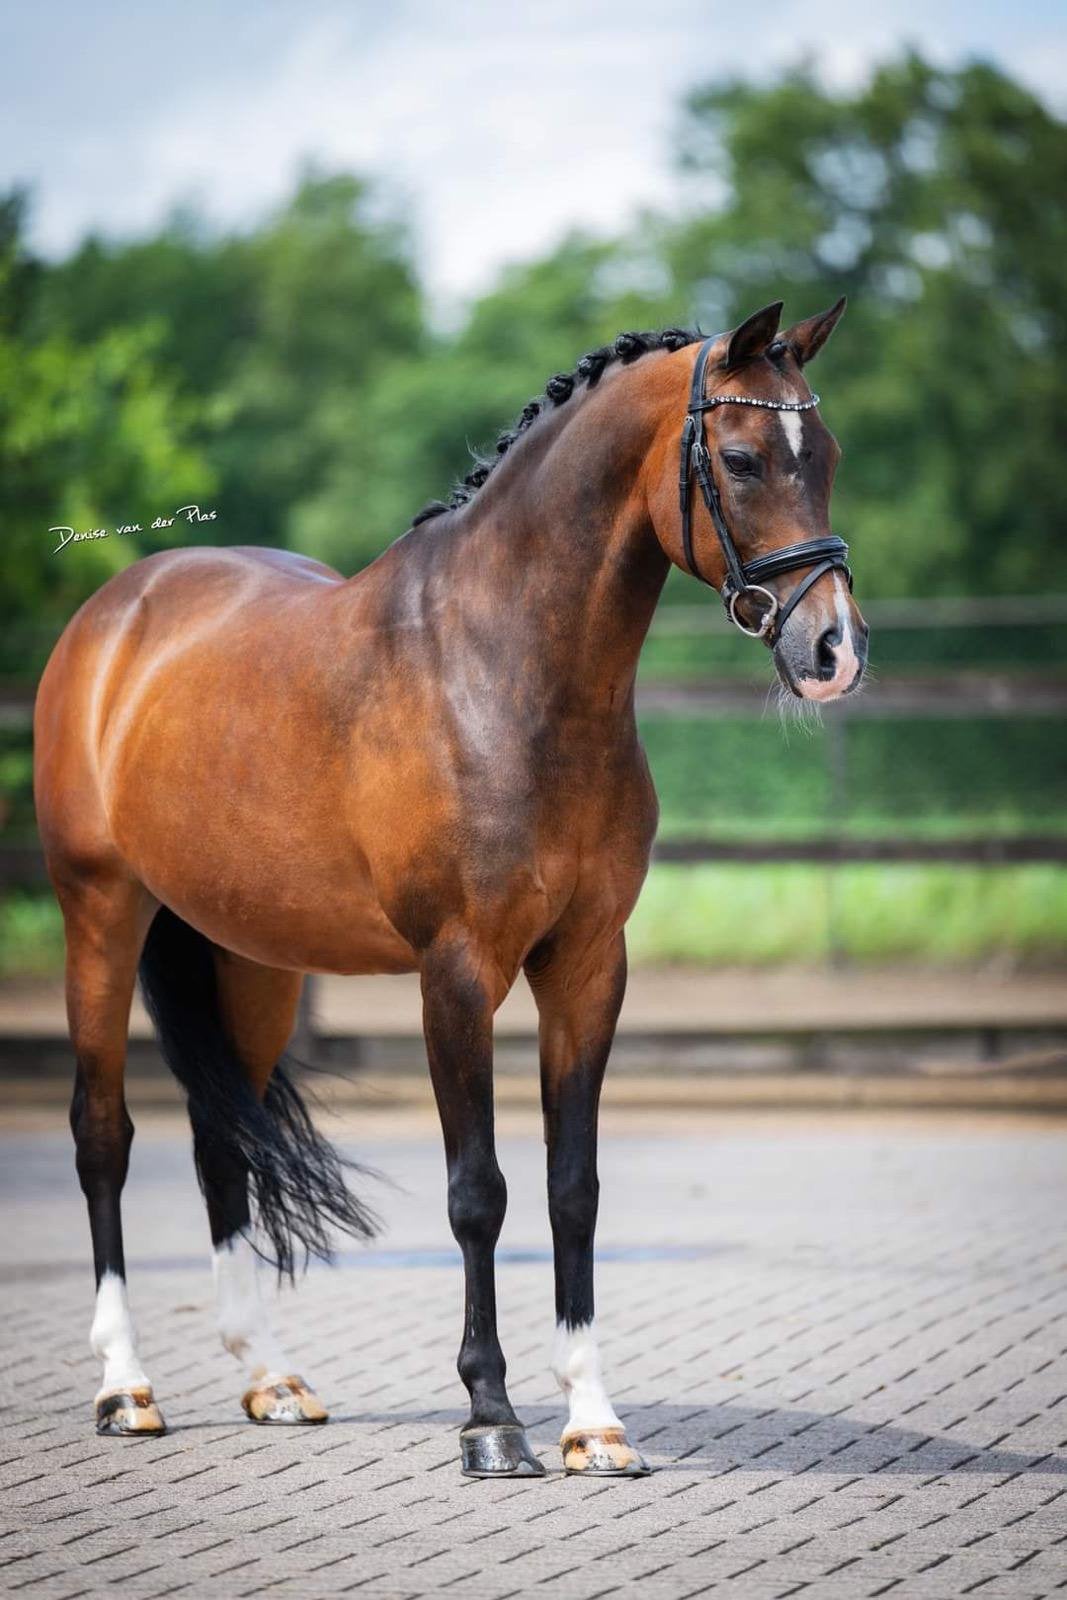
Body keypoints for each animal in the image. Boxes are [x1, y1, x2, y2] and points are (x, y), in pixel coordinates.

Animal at [33, 298, 867, 1475]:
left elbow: (573, 1188)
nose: (832, 649)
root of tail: (118, 612)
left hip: (251, 959)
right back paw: (125, 1386)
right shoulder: (458, 973)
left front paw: (593, 1420)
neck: (503, 672)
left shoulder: (586, 966)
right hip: (100, 914)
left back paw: (270, 1378)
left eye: (824, 454)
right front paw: (491, 1417)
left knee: (221, 1138)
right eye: (743, 458)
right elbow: (479, 1192)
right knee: (102, 1134)